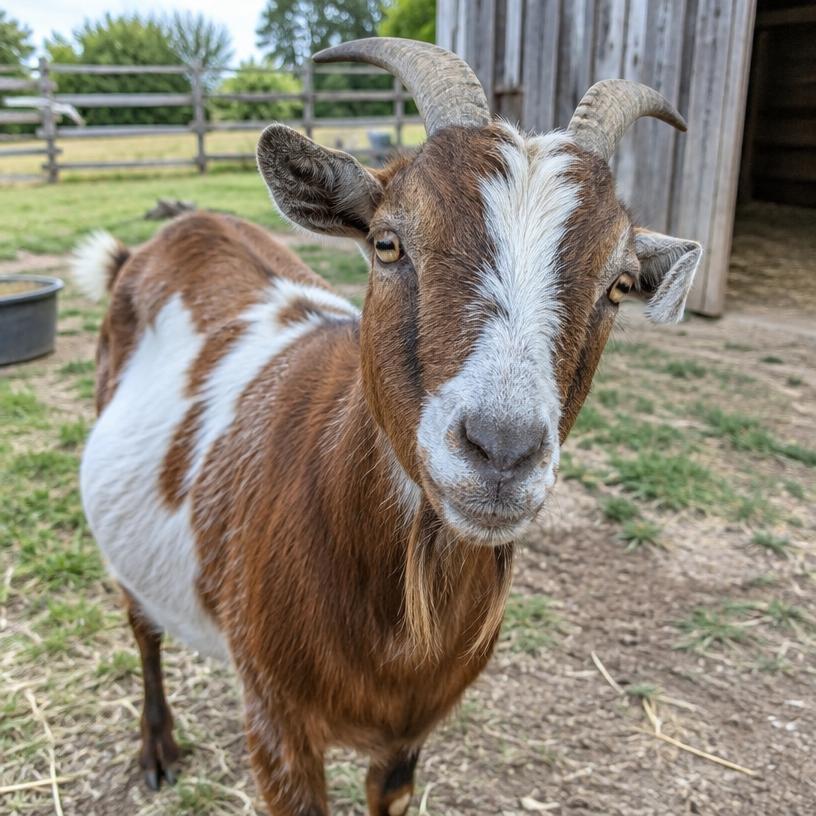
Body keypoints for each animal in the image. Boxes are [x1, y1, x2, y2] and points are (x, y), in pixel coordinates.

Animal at [75, 38, 702, 816]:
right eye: (386, 243)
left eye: (618, 285)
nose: (502, 451)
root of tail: (169, 236)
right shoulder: (276, 724)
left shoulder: (411, 731)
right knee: (142, 626)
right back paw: (157, 750)